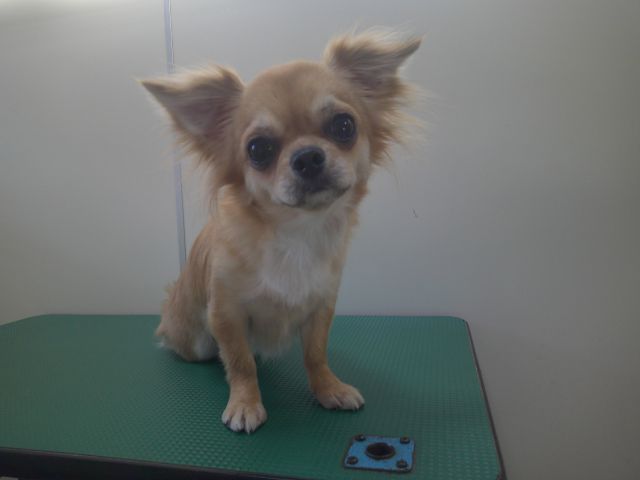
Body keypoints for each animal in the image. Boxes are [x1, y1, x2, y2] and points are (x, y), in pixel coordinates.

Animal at [141, 30, 420, 433]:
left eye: (344, 126)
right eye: (258, 149)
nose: (307, 156)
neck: (296, 233)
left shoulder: (321, 306)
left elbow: (316, 354)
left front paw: (329, 388)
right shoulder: (225, 313)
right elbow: (239, 362)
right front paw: (245, 402)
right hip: (195, 340)